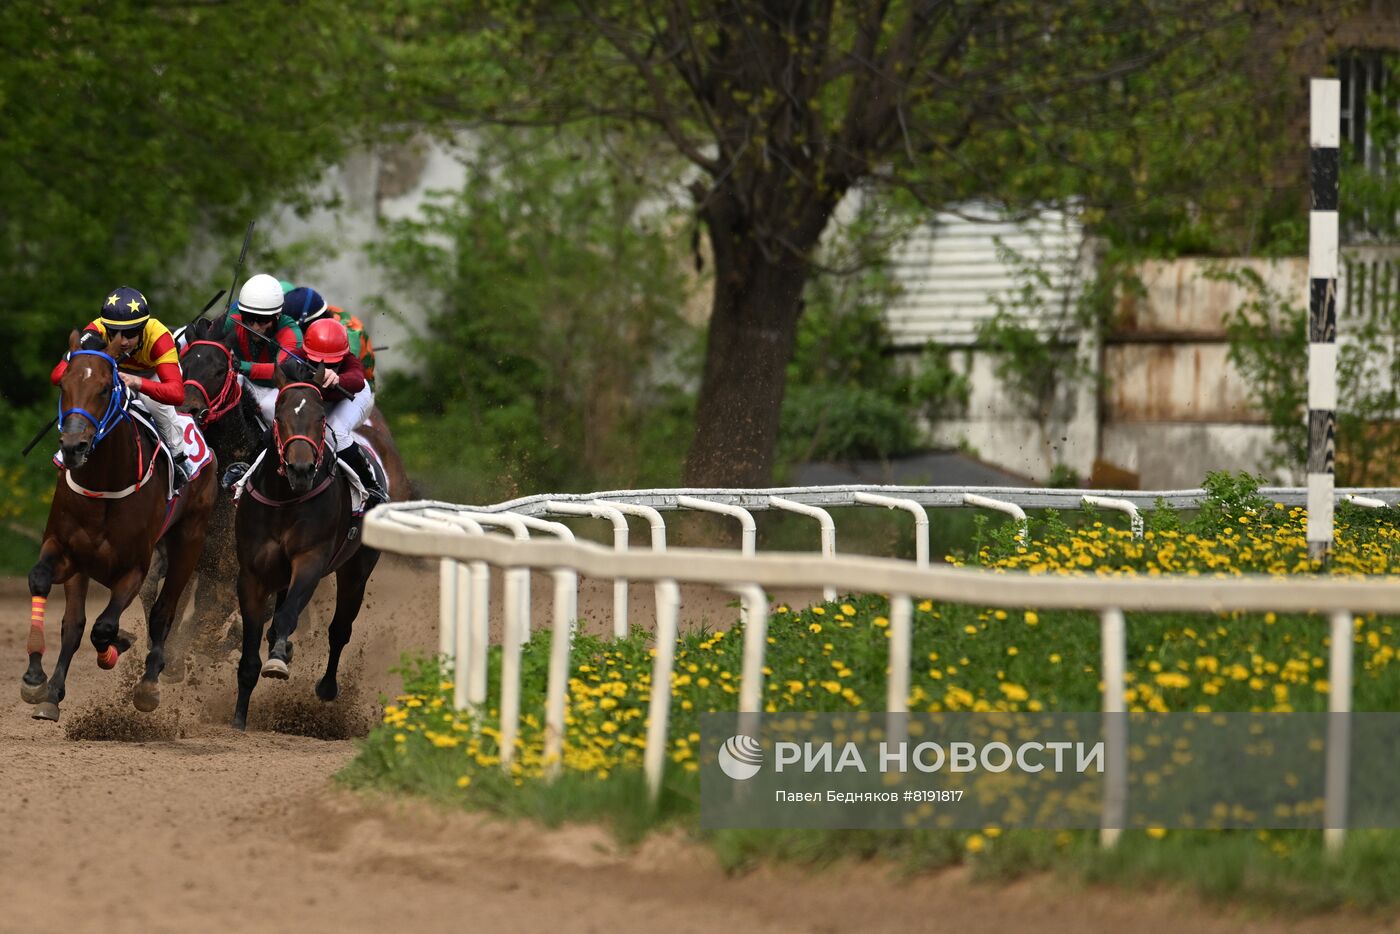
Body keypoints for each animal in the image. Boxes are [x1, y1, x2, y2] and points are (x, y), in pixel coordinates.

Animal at [22, 341, 215, 722]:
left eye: (104, 388)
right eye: (63, 385)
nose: (74, 447)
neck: (104, 484)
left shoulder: (133, 568)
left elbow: (104, 627)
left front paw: (114, 651)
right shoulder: (67, 552)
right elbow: (61, 608)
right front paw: (40, 682)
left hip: (190, 539)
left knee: (164, 610)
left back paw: (149, 683)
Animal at [231, 358, 380, 728]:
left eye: (321, 419)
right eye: (280, 417)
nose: (301, 469)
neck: (285, 497)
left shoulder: (310, 561)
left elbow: (287, 616)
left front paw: (277, 661)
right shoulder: (251, 573)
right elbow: (251, 647)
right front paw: (238, 718)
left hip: (357, 569)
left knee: (340, 629)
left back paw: (326, 686)